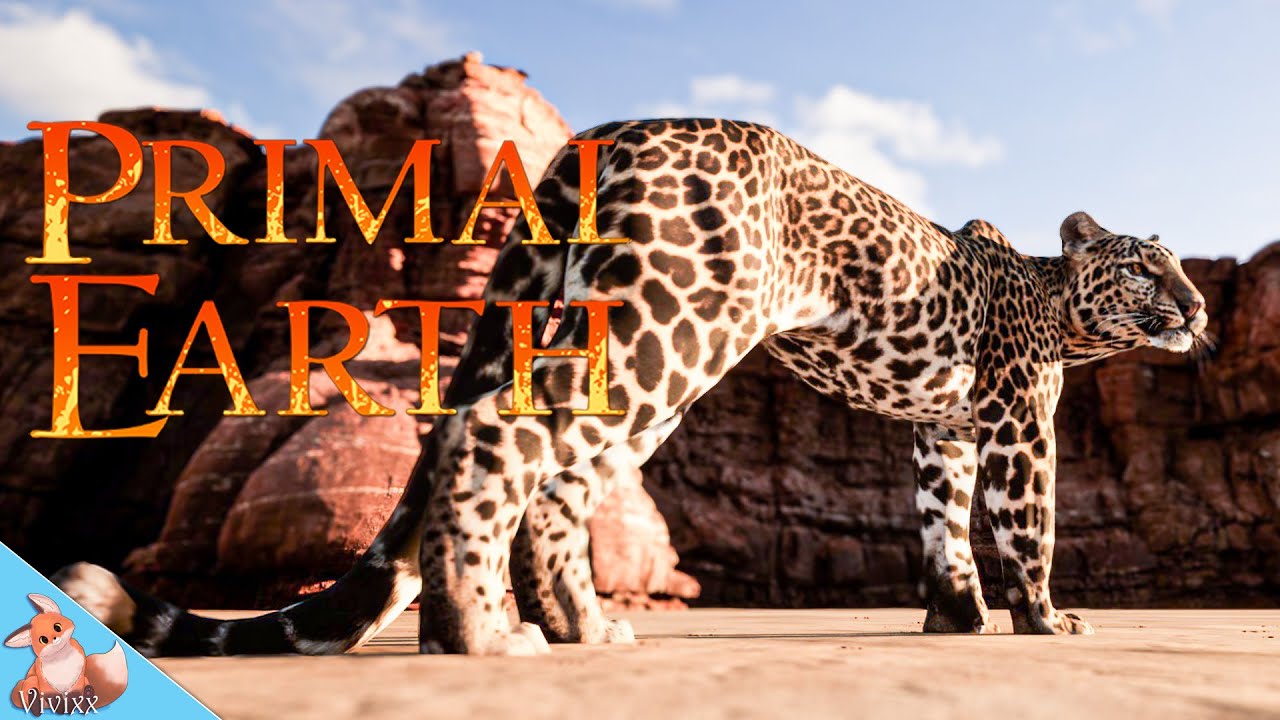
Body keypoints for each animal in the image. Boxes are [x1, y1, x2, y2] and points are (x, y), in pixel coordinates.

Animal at [54, 118, 1209, 656]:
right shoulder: (1017, 422)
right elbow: (1029, 527)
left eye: (1180, 269)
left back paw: (556, 628)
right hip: (673, 329)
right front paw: (1045, 621)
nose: (1198, 308)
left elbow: (943, 530)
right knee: (502, 438)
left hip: (598, 329)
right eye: (1146, 269)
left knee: (534, 473)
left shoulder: (945, 433)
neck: (1059, 301)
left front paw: (956, 621)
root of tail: (605, 130)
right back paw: (491, 635)